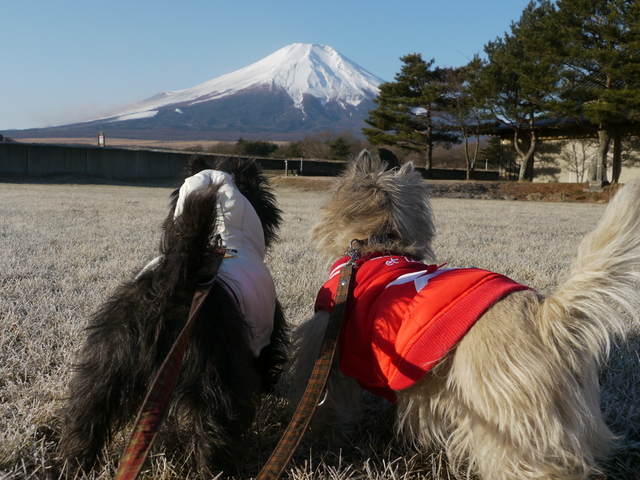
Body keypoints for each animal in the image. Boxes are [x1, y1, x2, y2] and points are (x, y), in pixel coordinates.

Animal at [58, 155, 288, 476]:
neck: (228, 236)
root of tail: (176, 282)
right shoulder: (266, 335)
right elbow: (267, 364)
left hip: (109, 363)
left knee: (87, 414)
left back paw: (75, 464)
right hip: (215, 375)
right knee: (215, 433)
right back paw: (218, 470)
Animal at [292, 151, 640, 480]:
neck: (380, 244)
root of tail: (544, 316)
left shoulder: (327, 341)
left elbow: (328, 400)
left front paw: (323, 434)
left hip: (508, 421)